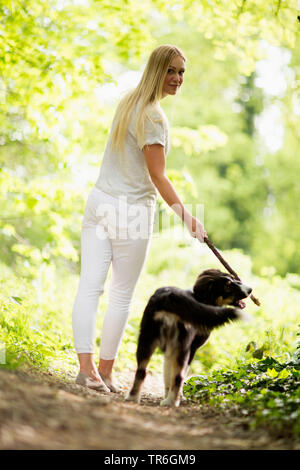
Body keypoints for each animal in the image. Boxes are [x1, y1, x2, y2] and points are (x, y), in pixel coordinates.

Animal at [125, 268, 252, 408]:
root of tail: (170, 297)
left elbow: (167, 374)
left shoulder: (169, 350)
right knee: (178, 377)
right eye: (228, 284)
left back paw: (133, 397)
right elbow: (178, 376)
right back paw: (172, 402)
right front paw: (177, 397)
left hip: (146, 339)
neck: (202, 299)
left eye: (234, 279)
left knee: (141, 371)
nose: (250, 289)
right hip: (182, 347)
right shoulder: (192, 348)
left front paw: (165, 396)